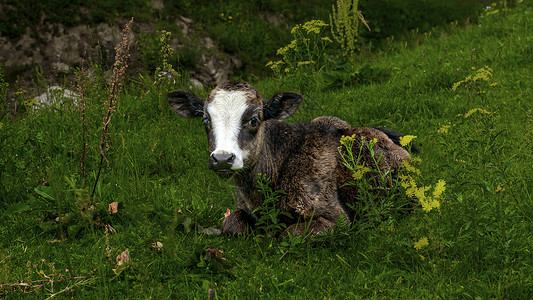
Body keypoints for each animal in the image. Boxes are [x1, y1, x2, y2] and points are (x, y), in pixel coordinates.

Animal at [168, 81, 410, 236]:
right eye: (205, 121)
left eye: (254, 120)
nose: (222, 158)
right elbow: (230, 225)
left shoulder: (336, 217)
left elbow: (289, 234)